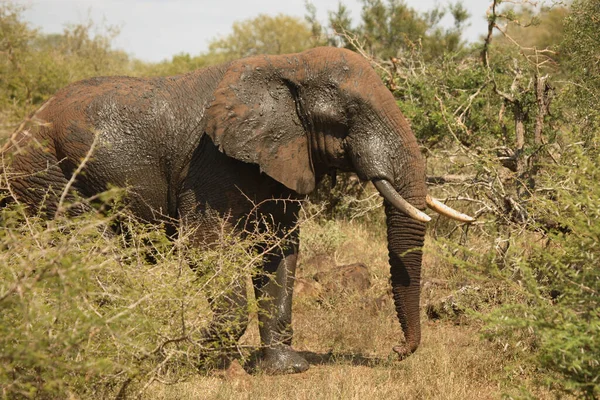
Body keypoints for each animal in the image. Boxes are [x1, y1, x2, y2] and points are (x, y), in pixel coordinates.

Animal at [2, 47, 474, 376]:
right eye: (350, 115)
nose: (397, 351)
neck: (288, 65)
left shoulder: (283, 156)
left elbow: (279, 250)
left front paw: (284, 369)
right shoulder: (209, 162)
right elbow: (206, 247)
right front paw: (198, 361)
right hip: (44, 173)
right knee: (88, 251)